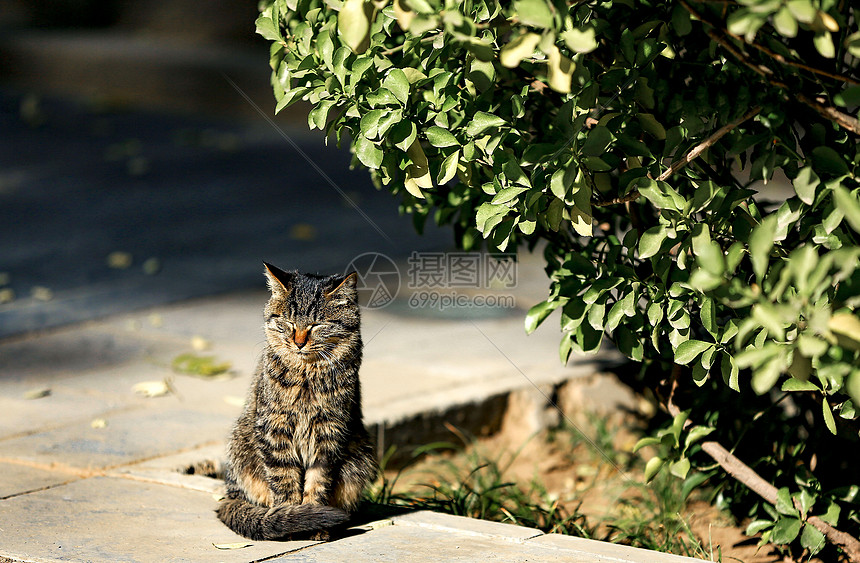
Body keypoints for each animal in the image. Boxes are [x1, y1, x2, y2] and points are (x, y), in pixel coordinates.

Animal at [215, 264, 376, 540]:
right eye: (289, 322)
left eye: (317, 324)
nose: (299, 342)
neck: (306, 375)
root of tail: (230, 491)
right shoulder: (275, 428)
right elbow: (284, 481)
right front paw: (291, 519)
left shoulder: (329, 433)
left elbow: (317, 482)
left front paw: (315, 522)